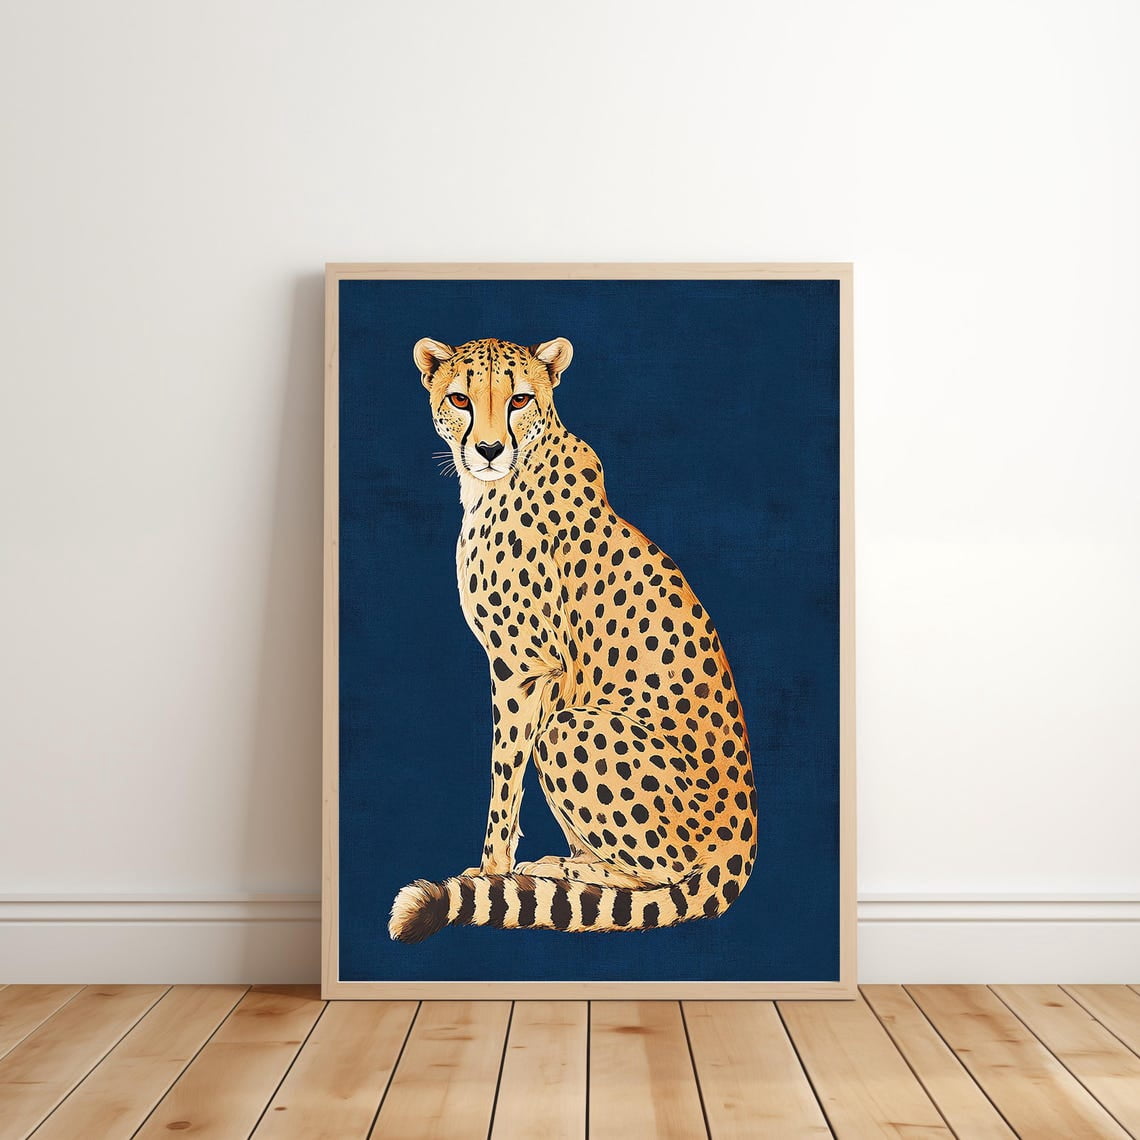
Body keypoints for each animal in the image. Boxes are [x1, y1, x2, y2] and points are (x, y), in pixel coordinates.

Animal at [389, 336, 757, 942]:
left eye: (519, 399)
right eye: (461, 398)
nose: (488, 449)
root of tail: (742, 840)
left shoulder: (521, 667)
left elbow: (503, 779)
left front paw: (489, 875)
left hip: (569, 727)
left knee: (664, 874)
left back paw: (561, 871)